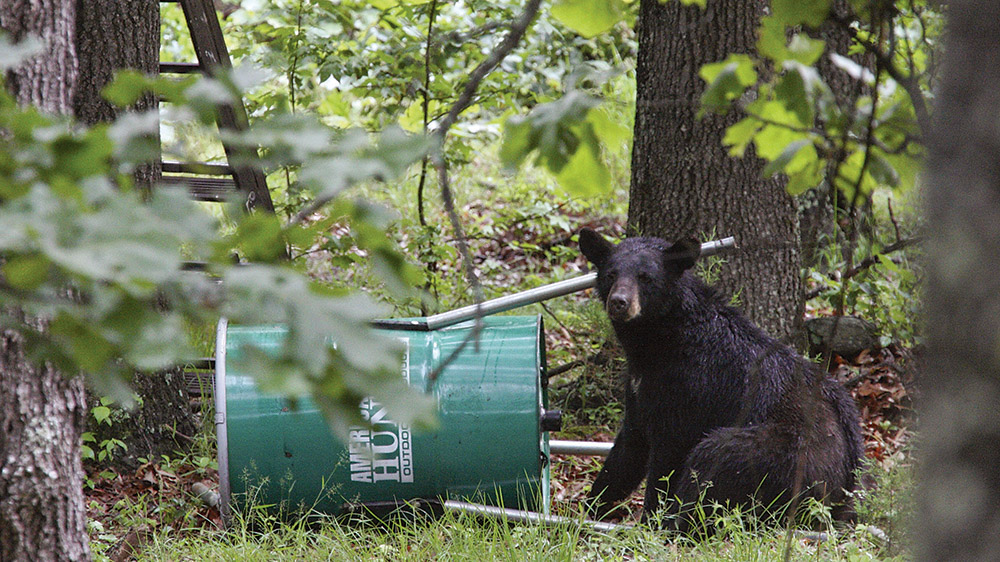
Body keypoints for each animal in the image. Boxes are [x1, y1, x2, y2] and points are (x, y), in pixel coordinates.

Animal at [578, 228, 863, 530]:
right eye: (611, 274)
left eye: (646, 277)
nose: (619, 302)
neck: (659, 342)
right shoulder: (640, 387)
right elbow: (628, 450)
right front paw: (591, 505)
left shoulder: (687, 388)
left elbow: (667, 456)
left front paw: (650, 521)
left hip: (775, 457)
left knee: (711, 459)